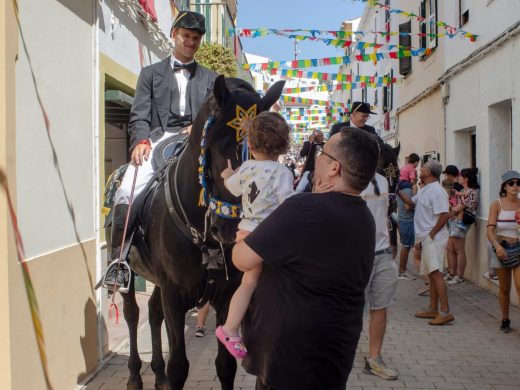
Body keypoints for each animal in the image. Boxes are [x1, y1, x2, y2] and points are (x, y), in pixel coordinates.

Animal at [114, 76, 284, 390]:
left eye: (267, 158)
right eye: (214, 149)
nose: (229, 228)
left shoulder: (227, 294)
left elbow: (225, 365)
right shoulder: (174, 295)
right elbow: (179, 366)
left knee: (153, 313)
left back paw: (157, 374)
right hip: (127, 271)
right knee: (132, 314)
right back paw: (135, 376)